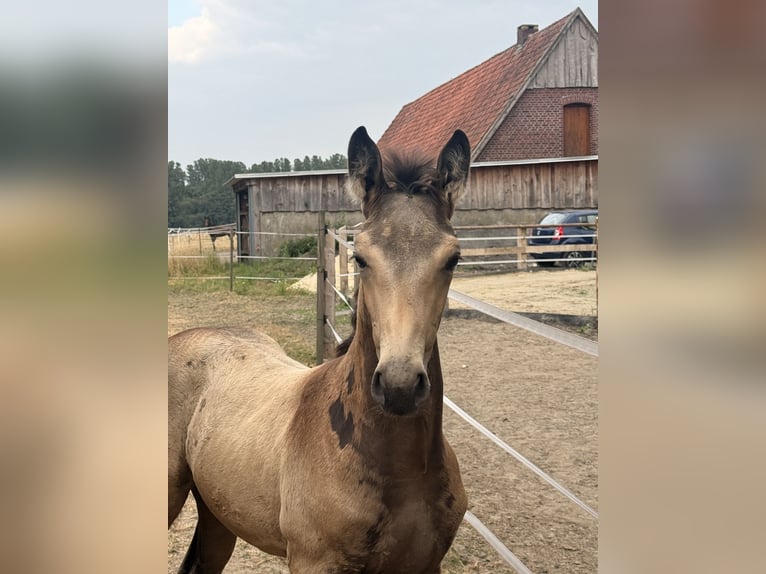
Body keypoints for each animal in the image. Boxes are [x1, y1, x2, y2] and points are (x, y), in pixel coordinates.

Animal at [169, 126, 471, 573]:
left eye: (453, 258)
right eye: (360, 257)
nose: (399, 385)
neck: (400, 472)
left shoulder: (425, 565)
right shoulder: (313, 562)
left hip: (218, 516)